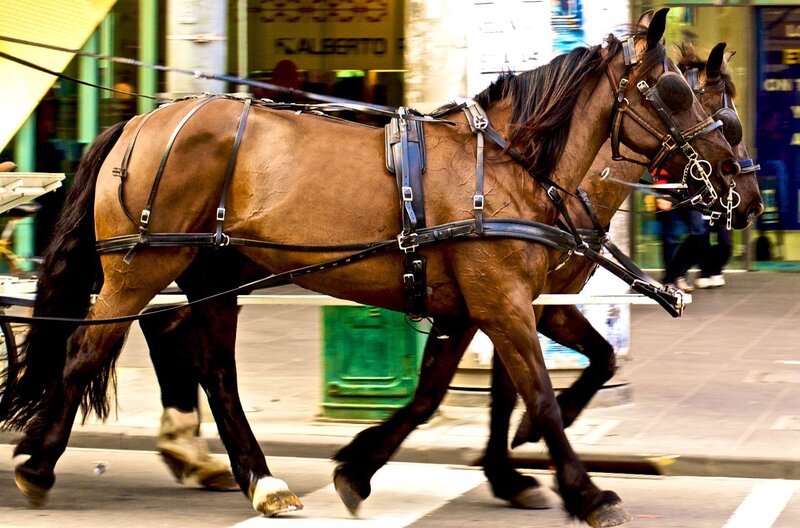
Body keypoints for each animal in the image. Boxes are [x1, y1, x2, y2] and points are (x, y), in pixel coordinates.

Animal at [2, 9, 755, 527]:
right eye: (675, 93)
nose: (741, 195)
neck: (517, 169)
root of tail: (140, 123)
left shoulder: (491, 303)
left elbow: (502, 382)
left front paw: (389, 465)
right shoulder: (502, 300)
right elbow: (536, 392)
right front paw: (586, 489)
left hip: (211, 274)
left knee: (210, 368)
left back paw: (258, 480)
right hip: (140, 267)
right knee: (87, 349)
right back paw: (38, 461)